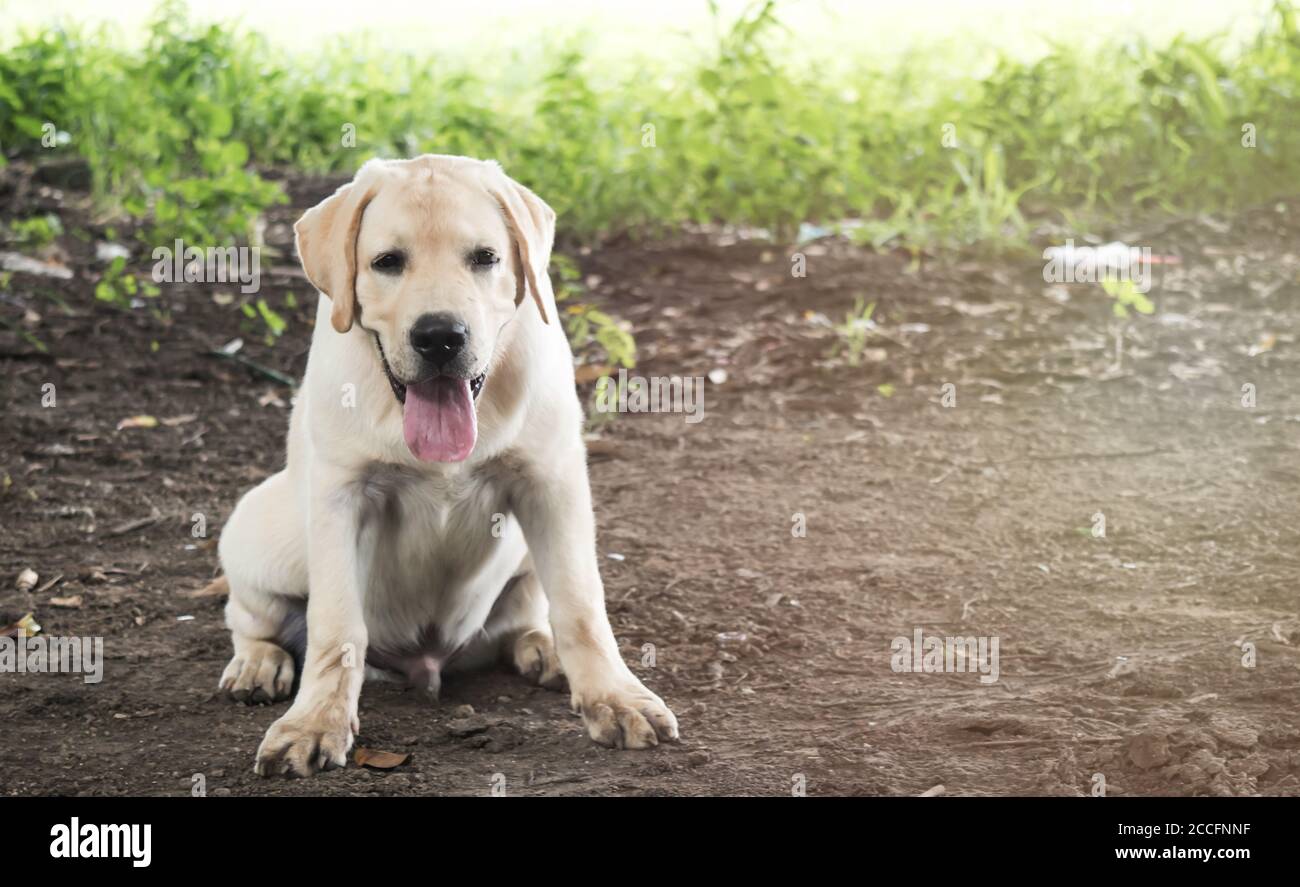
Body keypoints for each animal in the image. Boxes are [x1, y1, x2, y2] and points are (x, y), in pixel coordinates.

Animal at [217, 153, 676, 775]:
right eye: (387, 262)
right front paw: (313, 724)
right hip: (258, 529)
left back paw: (543, 648)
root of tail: (429, 663)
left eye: (485, 257)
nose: (440, 337)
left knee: (528, 612)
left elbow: (581, 604)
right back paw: (258, 663)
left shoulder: (552, 482)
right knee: (248, 616)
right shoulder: (339, 496)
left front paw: (616, 697)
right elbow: (335, 625)